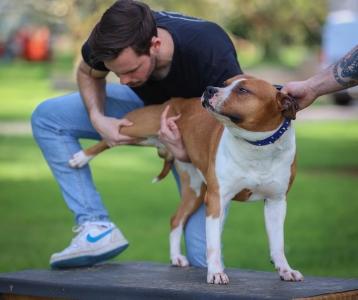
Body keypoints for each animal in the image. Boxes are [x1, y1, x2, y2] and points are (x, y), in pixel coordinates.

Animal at [69, 74, 302, 284]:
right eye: (225, 83)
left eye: (243, 90)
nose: (210, 89)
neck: (257, 146)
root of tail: (174, 101)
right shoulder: (217, 199)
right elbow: (212, 244)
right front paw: (216, 273)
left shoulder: (276, 203)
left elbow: (278, 243)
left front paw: (285, 270)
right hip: (137, 127)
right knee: (109, 137)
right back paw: (80, 158)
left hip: (195, 191)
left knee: (176, 219)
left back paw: (176, 257)